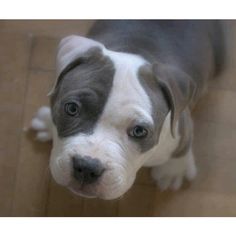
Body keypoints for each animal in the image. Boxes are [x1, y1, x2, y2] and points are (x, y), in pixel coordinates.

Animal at [30, 21, 224, 200]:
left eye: (139, 131)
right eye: (72, 108)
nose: (87, 167)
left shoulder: (181, 124)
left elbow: (183, 143)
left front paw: (173, 171)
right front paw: (47, 123)